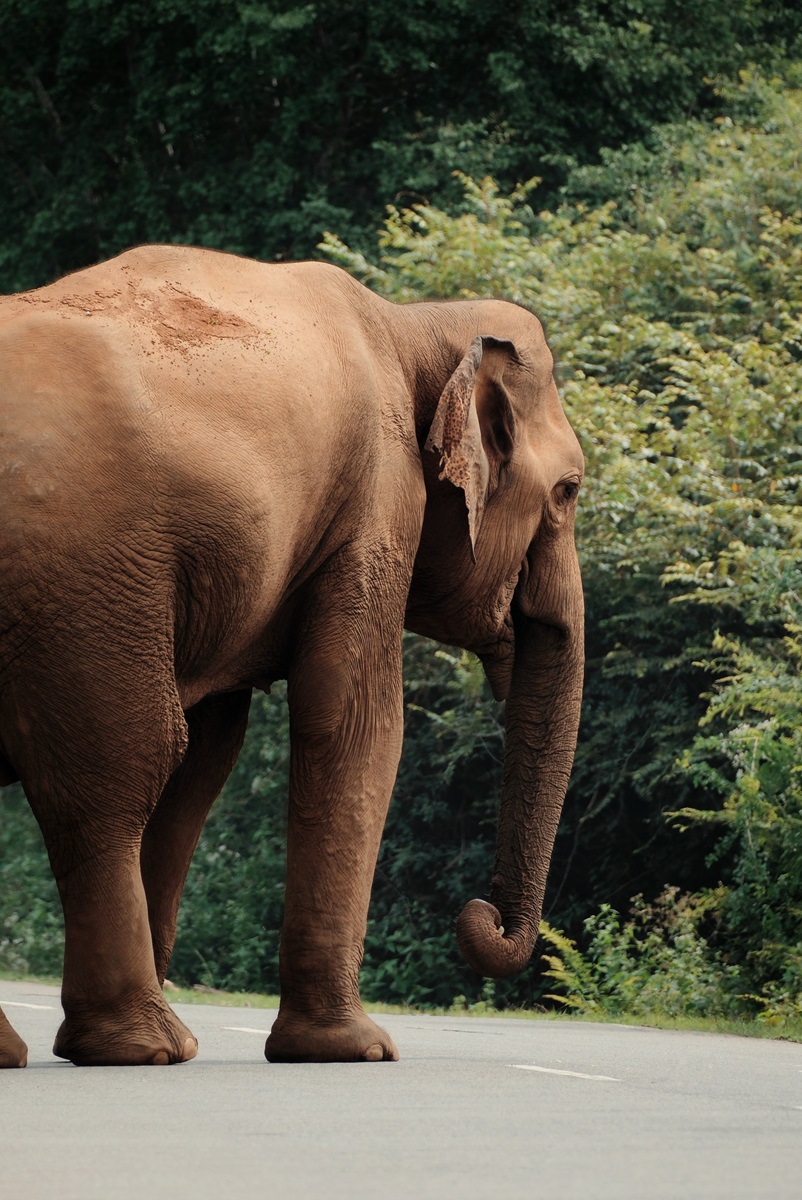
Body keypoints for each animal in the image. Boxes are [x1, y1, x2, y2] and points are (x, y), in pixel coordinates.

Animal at [0, 245, 584, 1068]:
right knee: (118, 770)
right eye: (568, 491)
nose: (481, 917)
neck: (413, 323)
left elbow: (208, 757)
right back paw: (149, 1049)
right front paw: (356, 1050)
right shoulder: (377, 502)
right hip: (80, 574)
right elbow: (351, 723)